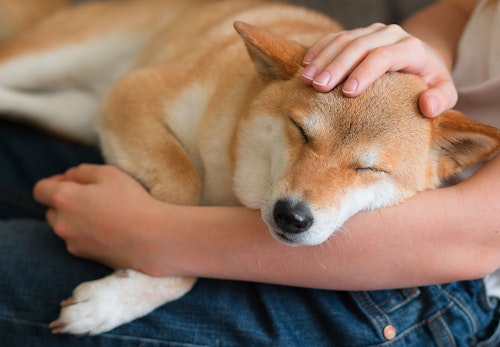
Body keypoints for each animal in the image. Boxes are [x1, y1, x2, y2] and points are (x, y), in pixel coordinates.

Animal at [0, 0, 500, 338]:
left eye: (369, 169)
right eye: (301, 131)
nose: (291, 216)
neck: (230, 173)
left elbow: (173, 250)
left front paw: (114, 299)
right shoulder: (135, 93)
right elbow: (182, 187)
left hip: (74, 112)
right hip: (59, 58)